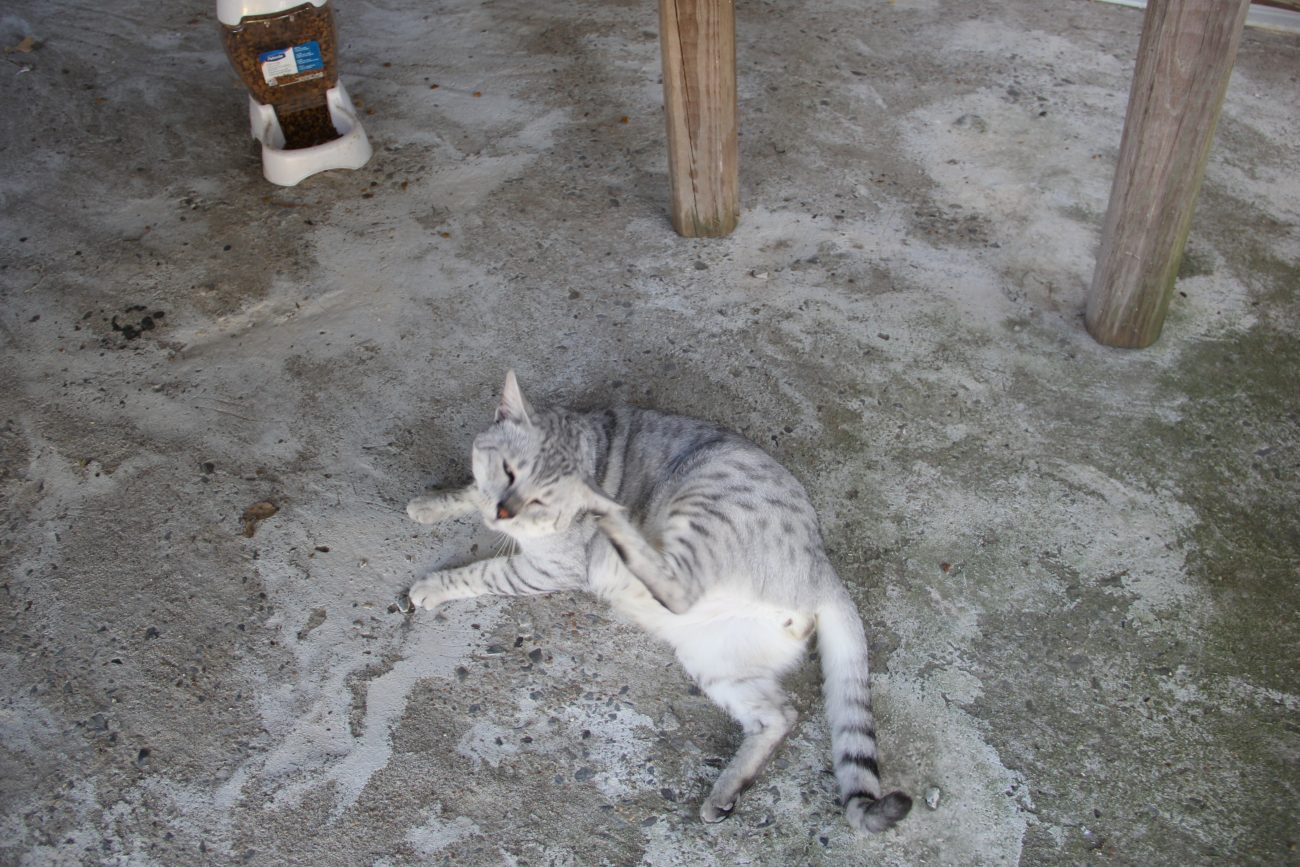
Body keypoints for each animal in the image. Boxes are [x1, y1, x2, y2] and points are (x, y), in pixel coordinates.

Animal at [408, 374, 915, 831]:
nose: (504, 512)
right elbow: (468, 490)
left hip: (703, 509)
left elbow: (481, 572)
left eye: (541, 500)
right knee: (779, 715)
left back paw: (615, 527)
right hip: (713, 658)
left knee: (677, 585)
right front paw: (432, 504)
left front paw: (433, 585)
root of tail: (822, 564)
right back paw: (726, 792)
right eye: (509, 472)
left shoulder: (547, 568)